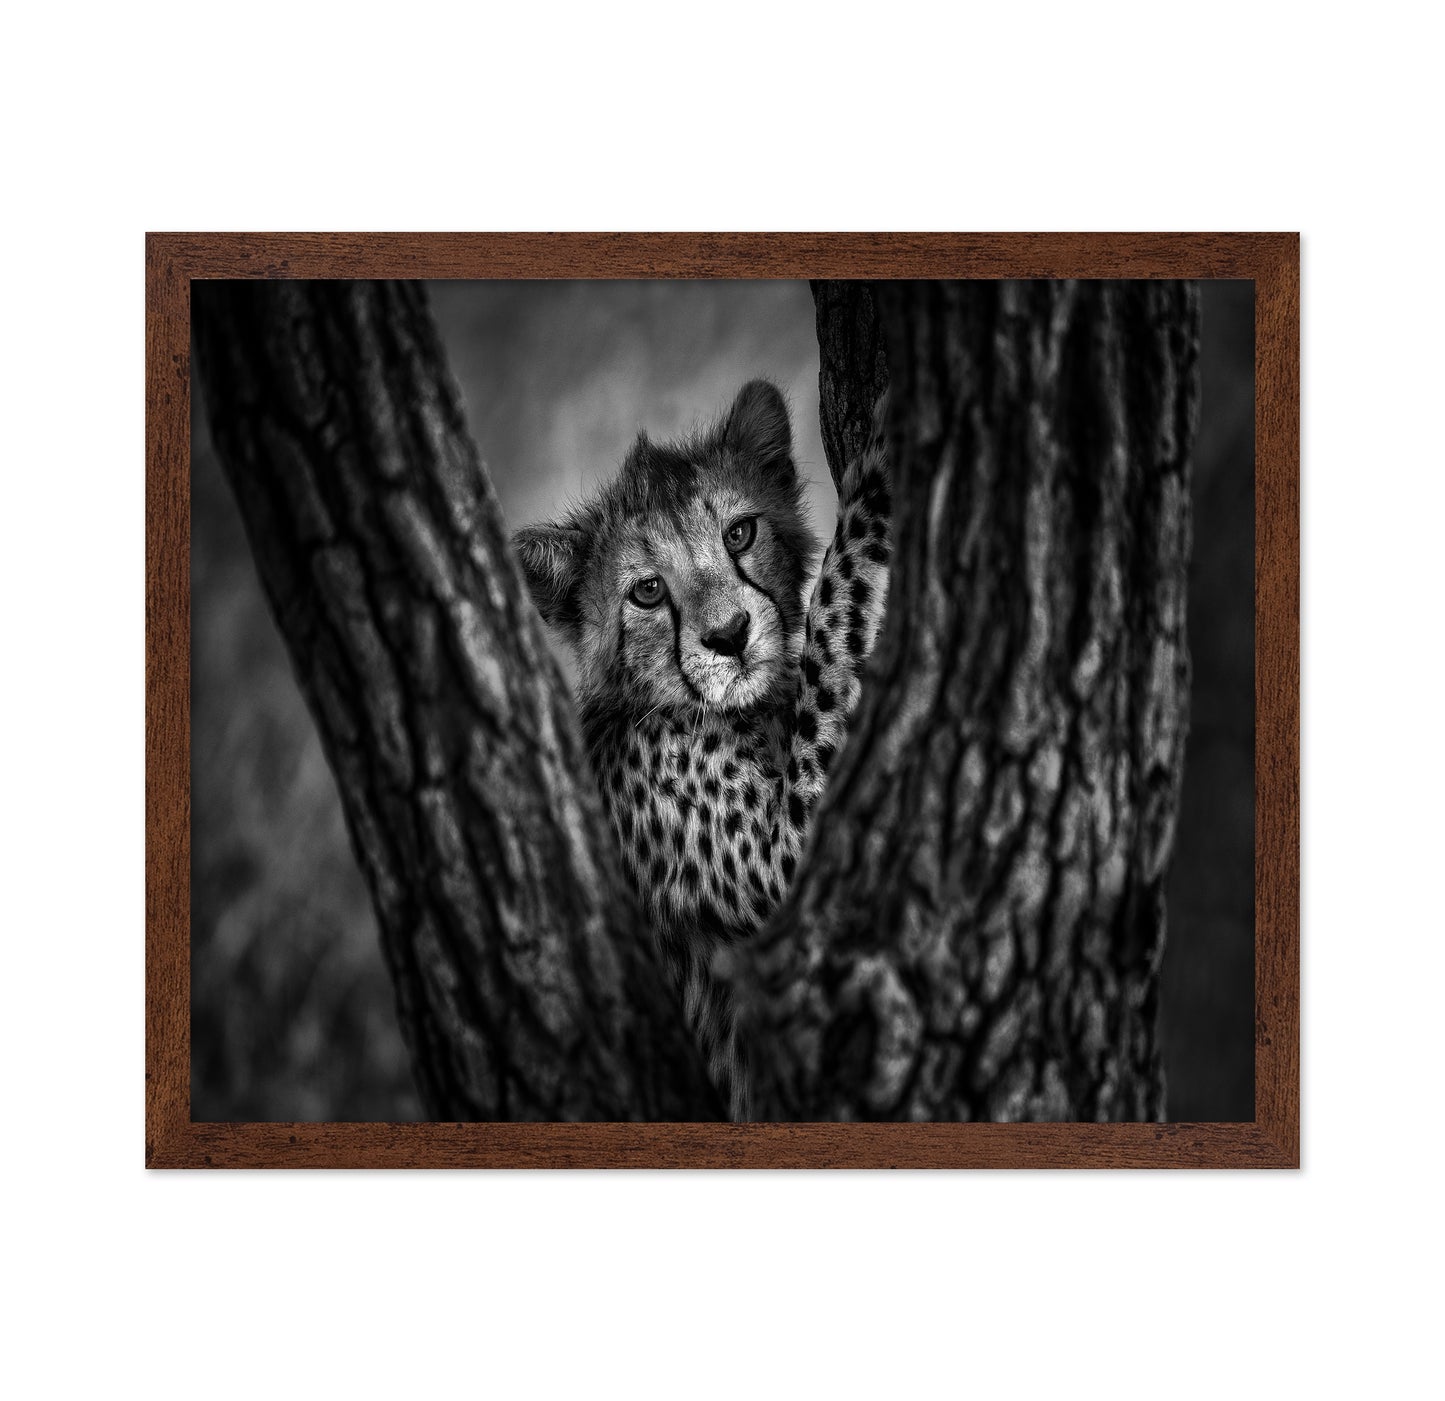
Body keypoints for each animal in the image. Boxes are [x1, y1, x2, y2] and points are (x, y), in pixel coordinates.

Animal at [513, 379, 891, 1118]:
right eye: (647, 590)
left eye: (739, 533)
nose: (729, 634)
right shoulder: (789, 875)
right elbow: (836, 613)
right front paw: (880, 478)